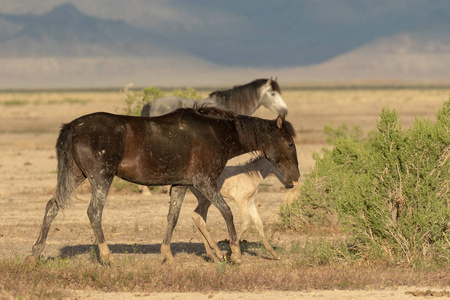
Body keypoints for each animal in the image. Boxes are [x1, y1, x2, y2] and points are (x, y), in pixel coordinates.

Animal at [23, 106, 298, 264]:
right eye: (290, 143)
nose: (295, 178)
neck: (215, 133)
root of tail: (72, 126)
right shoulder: (204, 182)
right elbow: (227, 213)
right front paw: (234, 254)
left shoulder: (180, 184)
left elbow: (173, 218)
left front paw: (167, 254)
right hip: (101, 178)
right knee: (93, 212)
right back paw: (108, 257)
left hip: (76, 175)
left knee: (52, 206)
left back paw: (34, 254)